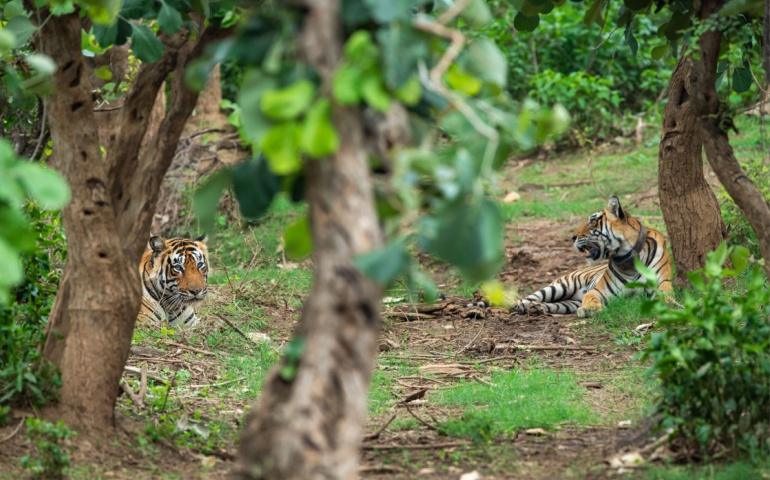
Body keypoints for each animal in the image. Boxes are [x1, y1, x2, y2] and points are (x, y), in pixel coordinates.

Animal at [511, 196, 673, 318]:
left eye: (593, 221)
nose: (573, 237)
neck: (628, 260)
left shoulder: (664, 283)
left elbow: (666, 296)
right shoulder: (598, 290)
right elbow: (590, 296)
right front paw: (590, 309)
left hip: (568, 303)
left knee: (554, 305)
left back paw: (537, 308)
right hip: (561, 286)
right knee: (531, 296)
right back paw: (520, 306)